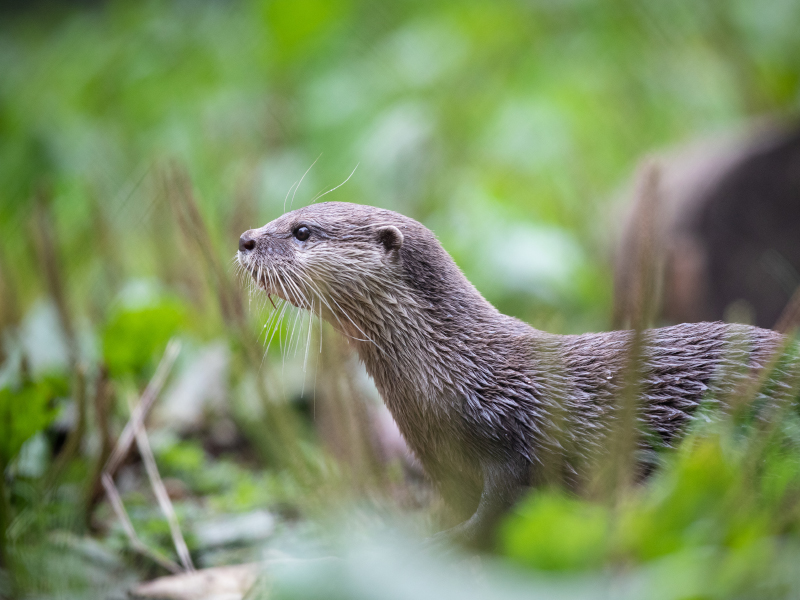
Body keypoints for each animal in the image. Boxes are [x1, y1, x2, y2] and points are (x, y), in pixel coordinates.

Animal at [236, 200, 792, 544]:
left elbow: (493, 512)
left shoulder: (515, 445)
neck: (460, 370)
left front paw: (444, 542)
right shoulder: (446, 468)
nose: (245, 238)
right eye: (285, 216)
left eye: (302, 231)